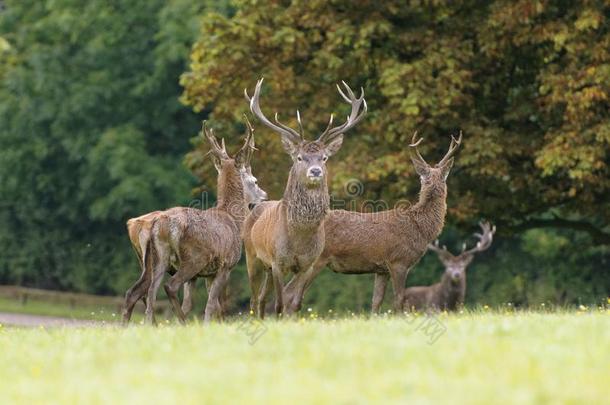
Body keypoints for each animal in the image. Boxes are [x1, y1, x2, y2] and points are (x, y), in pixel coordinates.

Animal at [121, 118, 266, 324]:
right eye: (254, 181)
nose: (264, 196)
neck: (233, 219)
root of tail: (162, 225)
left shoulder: (202, 275)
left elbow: (197, 304)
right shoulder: (225, 265)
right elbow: (212, 305)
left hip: (157, 258)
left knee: (143, 294)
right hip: (194, 257)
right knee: (169, 286)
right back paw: (182, 322)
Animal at [242, 76, 366, 316]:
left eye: (324, 157)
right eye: (299, 157)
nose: (315, 171)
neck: (299, 237)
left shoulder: (308, 264)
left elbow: (294, 304)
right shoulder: (278, 262)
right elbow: (279, 305)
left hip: (267, 267)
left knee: (261, 298)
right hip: (252, 257)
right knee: (253, 300)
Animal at [282, 132, 458, 312]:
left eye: (441, 178)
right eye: (423, 179)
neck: (419, 228)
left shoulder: (382, 269)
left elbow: (376, 302)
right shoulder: (398, 261)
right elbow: (399, 300)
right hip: (316, 260)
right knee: (289, 293)